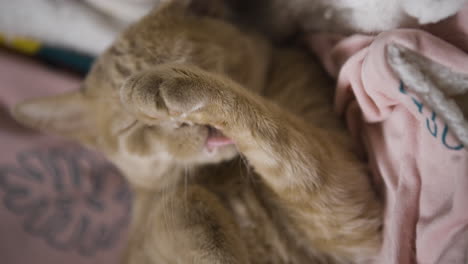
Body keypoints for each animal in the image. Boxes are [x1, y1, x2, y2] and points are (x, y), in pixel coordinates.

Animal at [12, 1, 382, 262]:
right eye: (134, 125)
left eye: (187, 61)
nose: (183, 122)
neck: (225, 176)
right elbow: (185, 203)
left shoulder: (348, 211)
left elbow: (267, 127)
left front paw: (163, 85)